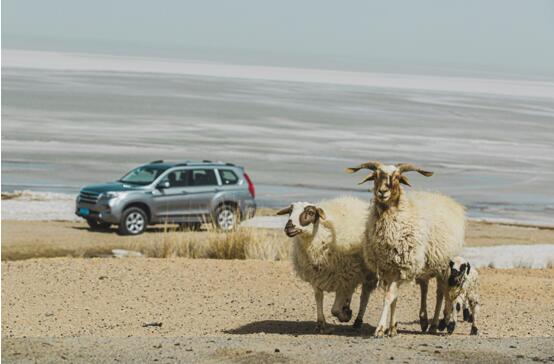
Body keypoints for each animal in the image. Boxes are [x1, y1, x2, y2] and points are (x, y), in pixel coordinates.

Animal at [274, 196, 378, 332]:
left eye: (311, 213)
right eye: (290, 212)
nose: (289, 227)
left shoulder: (344, 276)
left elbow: (335, 309)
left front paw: (345, 316)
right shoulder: (317, 277)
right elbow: (319, 298)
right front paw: (321, 324)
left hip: (367, 274)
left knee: (364, 296)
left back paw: (357, 321)